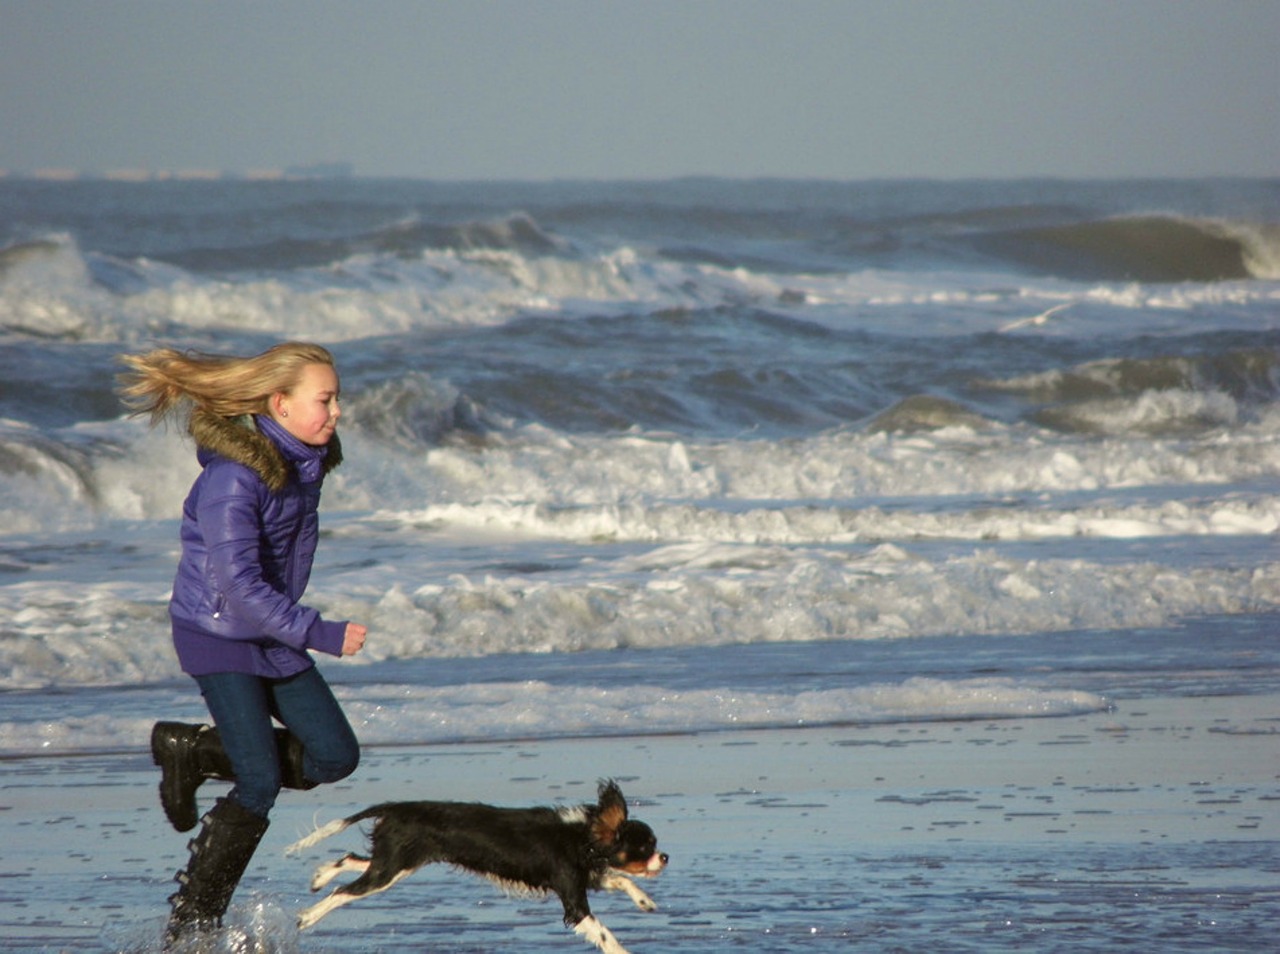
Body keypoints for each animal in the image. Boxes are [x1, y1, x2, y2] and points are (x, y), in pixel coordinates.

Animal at [285, 783, 670, 952]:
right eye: (645, 847)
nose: (665, 857)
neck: (581, 834)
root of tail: (395, 807)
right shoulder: (572, 896)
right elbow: (603, 930)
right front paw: (621, 951)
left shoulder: (585, 875)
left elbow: (619, 880)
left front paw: (645, 901)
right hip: (390, 869)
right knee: (343, 892)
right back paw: (308, 917)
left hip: (397, 863)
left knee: (351, 859)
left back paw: (319, 877)